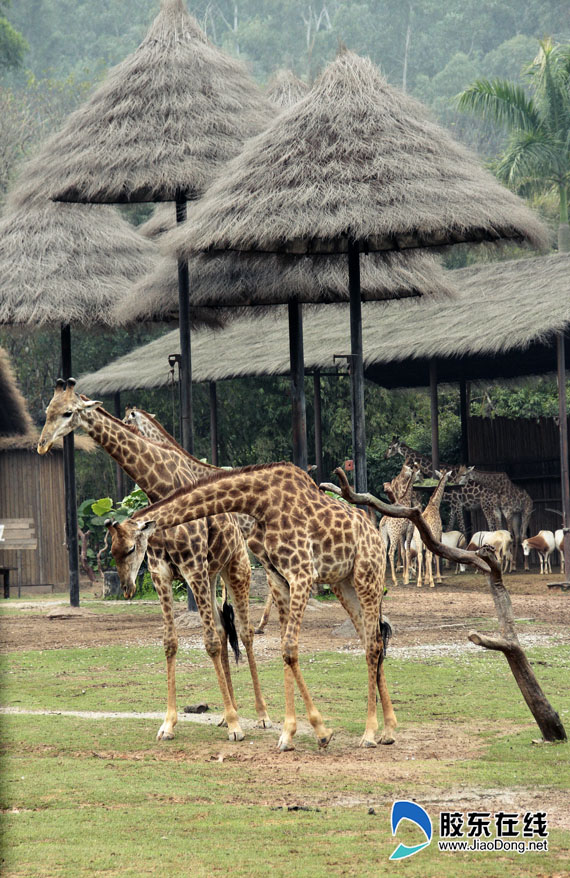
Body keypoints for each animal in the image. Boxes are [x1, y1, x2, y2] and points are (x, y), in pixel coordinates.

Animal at [37, 382, 270, 744]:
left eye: (68, 412)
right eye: (46, 411)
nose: (42, 444)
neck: (159, 486)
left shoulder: (191, 566)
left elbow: (209, 642)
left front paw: (235, 725)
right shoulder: (163, 572)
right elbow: (171, 643)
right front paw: (169, 724)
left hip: (236, 568)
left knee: (243, 633)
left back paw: (260, 716)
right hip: (211, 574)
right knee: (222, 628)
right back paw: (225, 714)